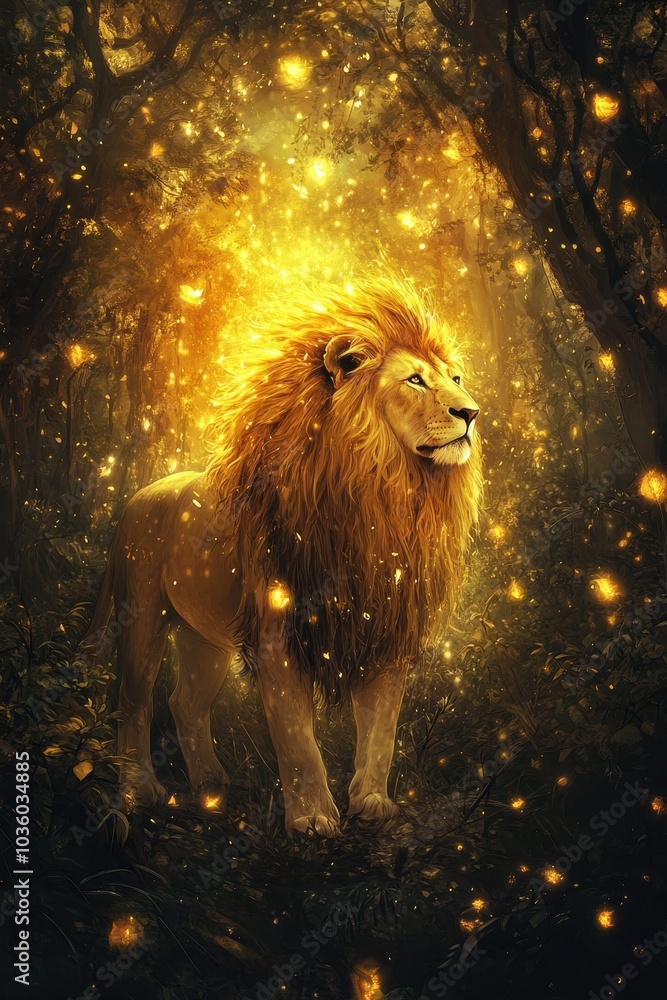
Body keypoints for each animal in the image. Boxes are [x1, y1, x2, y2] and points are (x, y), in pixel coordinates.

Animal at [83, 276, 482, 836]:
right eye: (415, 381)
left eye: (456, 377)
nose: (471, 412)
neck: (384, 492)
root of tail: (140, 496)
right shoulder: (278, 635)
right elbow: (297, 739)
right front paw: (313, 819)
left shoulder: (385, 629)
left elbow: (381, 727)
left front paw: (371, 802)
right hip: (141, 617)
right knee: (133, 700)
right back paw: (140, 790)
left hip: (205, 638)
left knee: (184, 703)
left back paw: (211, 785)